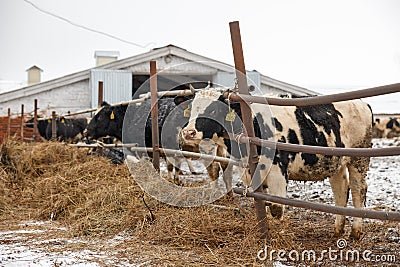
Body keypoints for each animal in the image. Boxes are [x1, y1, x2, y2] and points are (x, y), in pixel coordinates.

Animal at [180, 88, 374, 241]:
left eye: (213, 111)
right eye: (191, 110)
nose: (188, 132)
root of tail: (363, 103)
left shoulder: (278, 168)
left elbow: (276, 208)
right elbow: (263, 201)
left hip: (359, 157)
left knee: (358, 189)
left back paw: (355, 232)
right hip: (335, 162)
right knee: (341, 189)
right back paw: (338, 229)